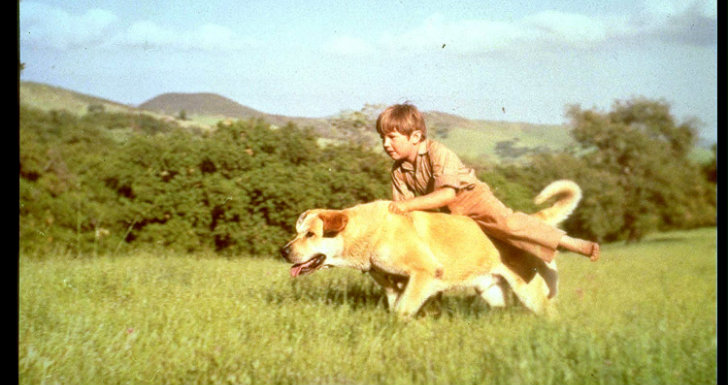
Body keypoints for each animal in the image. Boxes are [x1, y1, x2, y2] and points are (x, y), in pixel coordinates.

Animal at [278, 178, 580, 316]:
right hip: (493, 291)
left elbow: (403, 310)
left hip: (530, 292)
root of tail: (531, 221)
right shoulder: (392, 286)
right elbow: (396, 306)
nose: (283, 251)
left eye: (310, 234)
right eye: (297, 232)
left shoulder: (423, 273)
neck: (371, 232)